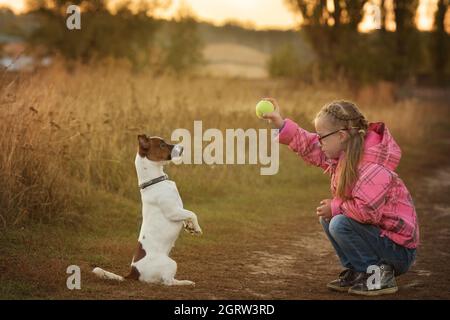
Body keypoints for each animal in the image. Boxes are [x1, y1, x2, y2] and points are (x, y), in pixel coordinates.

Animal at [92, 134, 201, 286]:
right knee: (167, 282)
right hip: (171, 263)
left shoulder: (179, 210)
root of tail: (134, 272)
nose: (183, 147)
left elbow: (187, 216)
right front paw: (197, 228)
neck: (155, 181)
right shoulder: (173, 211)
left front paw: (190, 227)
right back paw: (184, 282)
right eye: (162, 145)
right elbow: (192, 213)